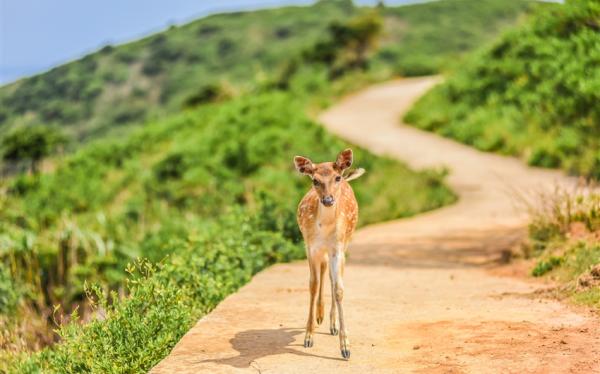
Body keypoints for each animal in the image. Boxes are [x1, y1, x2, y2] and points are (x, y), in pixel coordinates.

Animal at [292, 148, 364, 360]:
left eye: (336, 177)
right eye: (315, 180)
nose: (328, 200)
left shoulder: (337, 248)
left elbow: (339, 289)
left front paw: (345, 348)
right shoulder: (310, 247)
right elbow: (313, 286)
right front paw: (308, 337)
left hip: (346, 243)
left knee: (332, 278)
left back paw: (332, 324)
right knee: (323, 272)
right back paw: (320, 316)